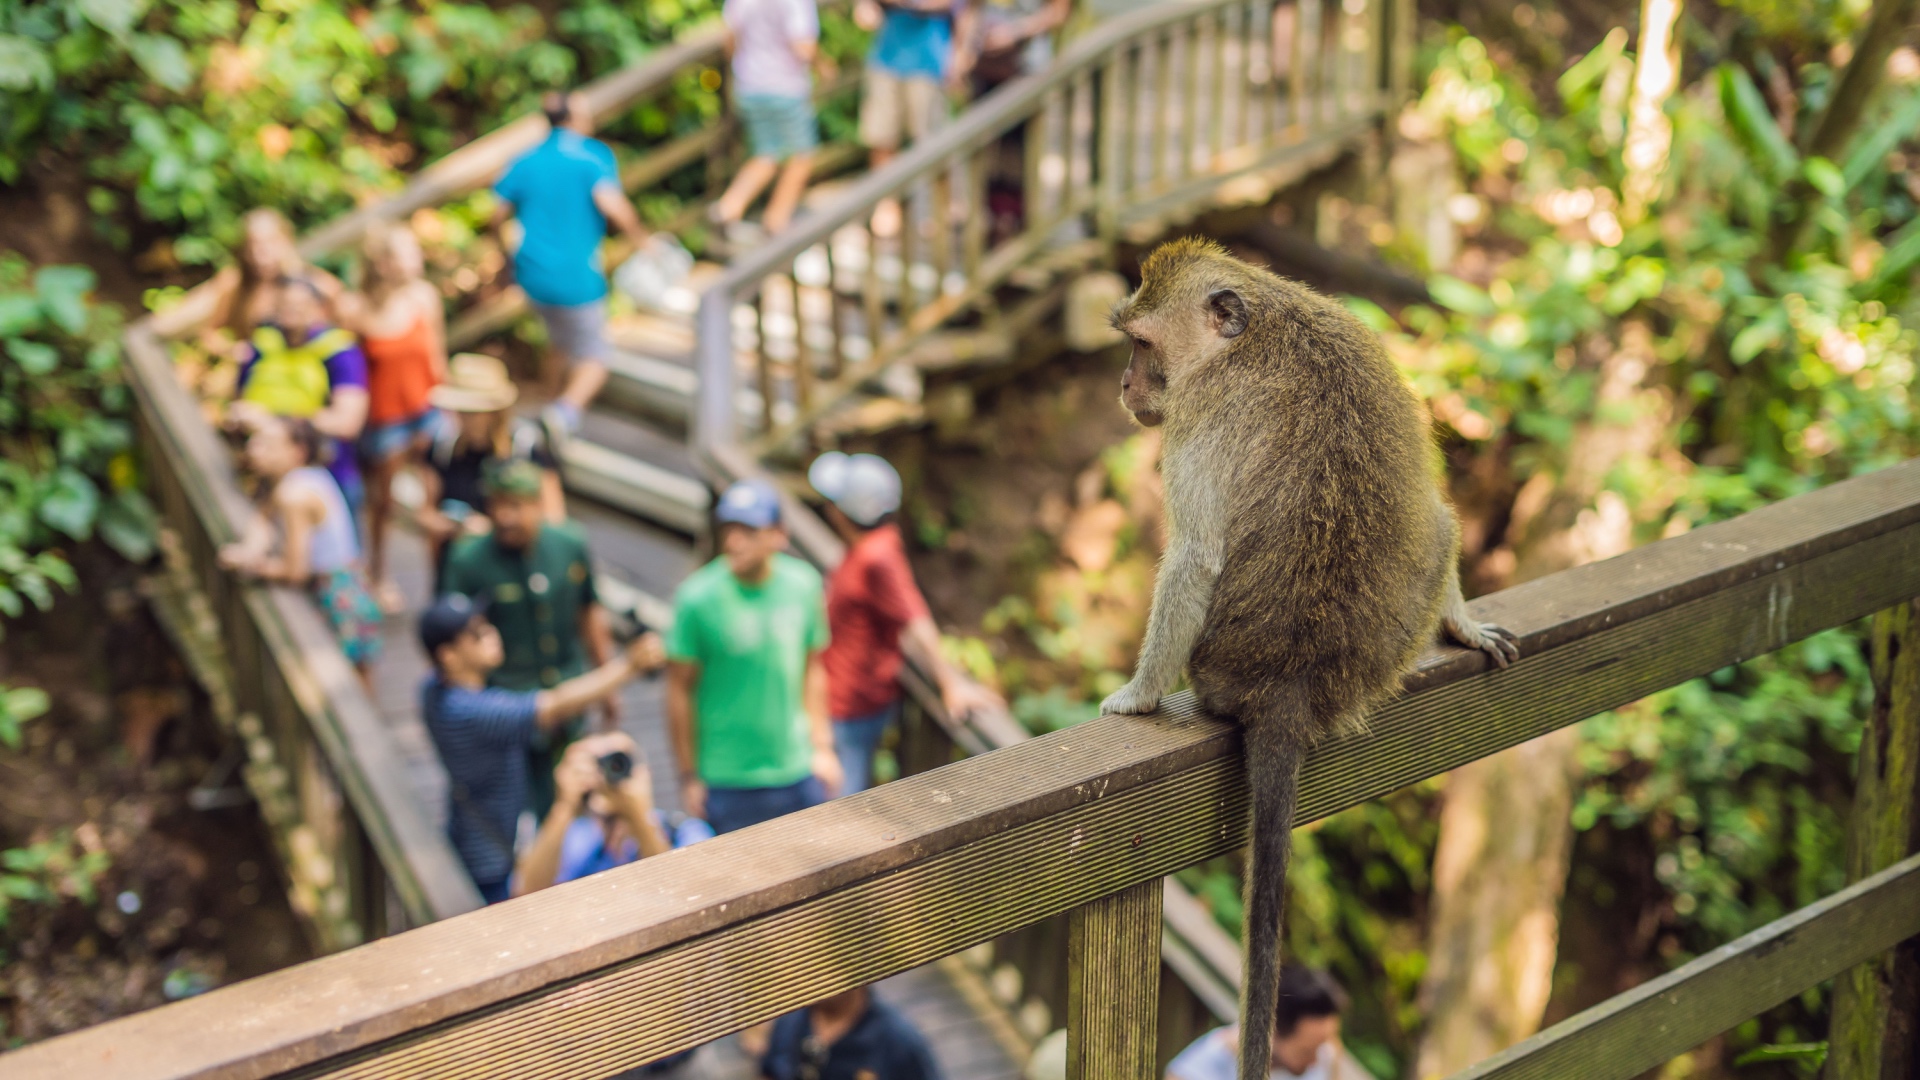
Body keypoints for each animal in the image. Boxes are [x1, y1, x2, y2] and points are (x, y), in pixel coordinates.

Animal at [1100, 238, 1518, 1080]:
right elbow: (1439, 506)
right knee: (1439, 521)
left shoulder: (1198, 415)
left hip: (1217, 667)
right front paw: (1465, 623)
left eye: (1142, 346)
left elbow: (1196, 555)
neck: (1260, 324)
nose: (1126, 385)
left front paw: (1137, 694)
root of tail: (1286, 688)